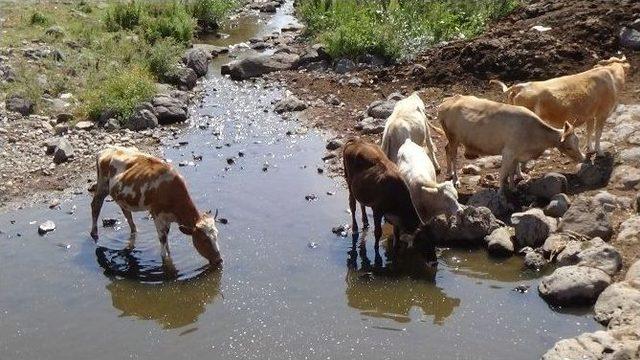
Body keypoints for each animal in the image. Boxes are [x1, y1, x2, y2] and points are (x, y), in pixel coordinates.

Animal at [89, 146, 221, 268]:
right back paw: (94, 233)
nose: (219, 260)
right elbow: (162, 240)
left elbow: (167, 240)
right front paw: (165, 260)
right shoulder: (157, 214)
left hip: (121, 196)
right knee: (95, 205)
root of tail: (108, 148)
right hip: (102, 185)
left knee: (126, 212)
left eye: (217, 235)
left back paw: (134, 230)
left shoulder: (167, 217)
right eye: (204, 239)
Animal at [440, 95, 584, 191]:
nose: (583, 158)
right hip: (454, 138)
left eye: (577, 142)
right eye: (569, 147)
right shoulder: (508, 152)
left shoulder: (517, 154)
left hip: (452, 139)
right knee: (453, 155)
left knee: (446, 149)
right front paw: (501, 193)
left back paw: (449, 173)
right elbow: (503, 174)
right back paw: (456, 179)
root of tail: (448, 101)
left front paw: (513, 187)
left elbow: (512, 171)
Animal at [490, 55, 632, 154]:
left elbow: (590, 132)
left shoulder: (590, 115)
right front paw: (600, 152)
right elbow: (598, 133)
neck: (611, 77)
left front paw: (590, 149)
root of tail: (522, 86)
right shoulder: (602, 113)